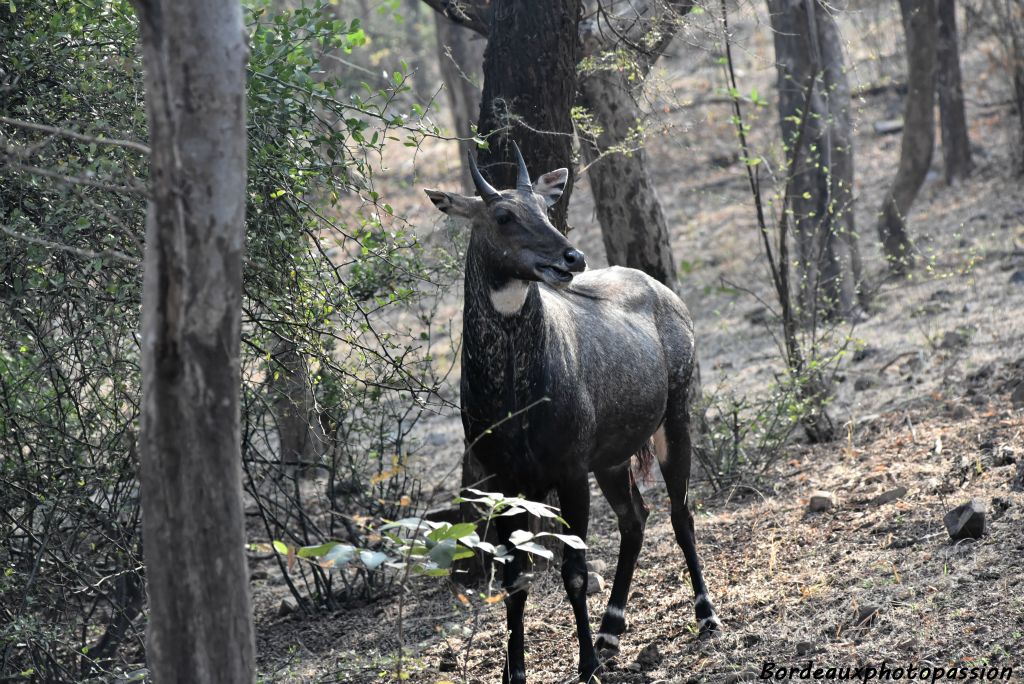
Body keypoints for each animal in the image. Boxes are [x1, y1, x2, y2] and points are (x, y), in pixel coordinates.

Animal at [423, 144, 720, 684]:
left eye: (546, 206)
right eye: (503, 215)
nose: (571, 257)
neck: (515, 394)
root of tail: (661, 290)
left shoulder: (569, 471)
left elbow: (575, 572)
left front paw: (585, 667)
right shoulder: (505, 481)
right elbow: (516, 577)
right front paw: (515, 672)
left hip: (674, 422)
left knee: (680, 512)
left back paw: (706, 615)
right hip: (612, 458)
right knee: (635, 519)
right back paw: (611, 633)